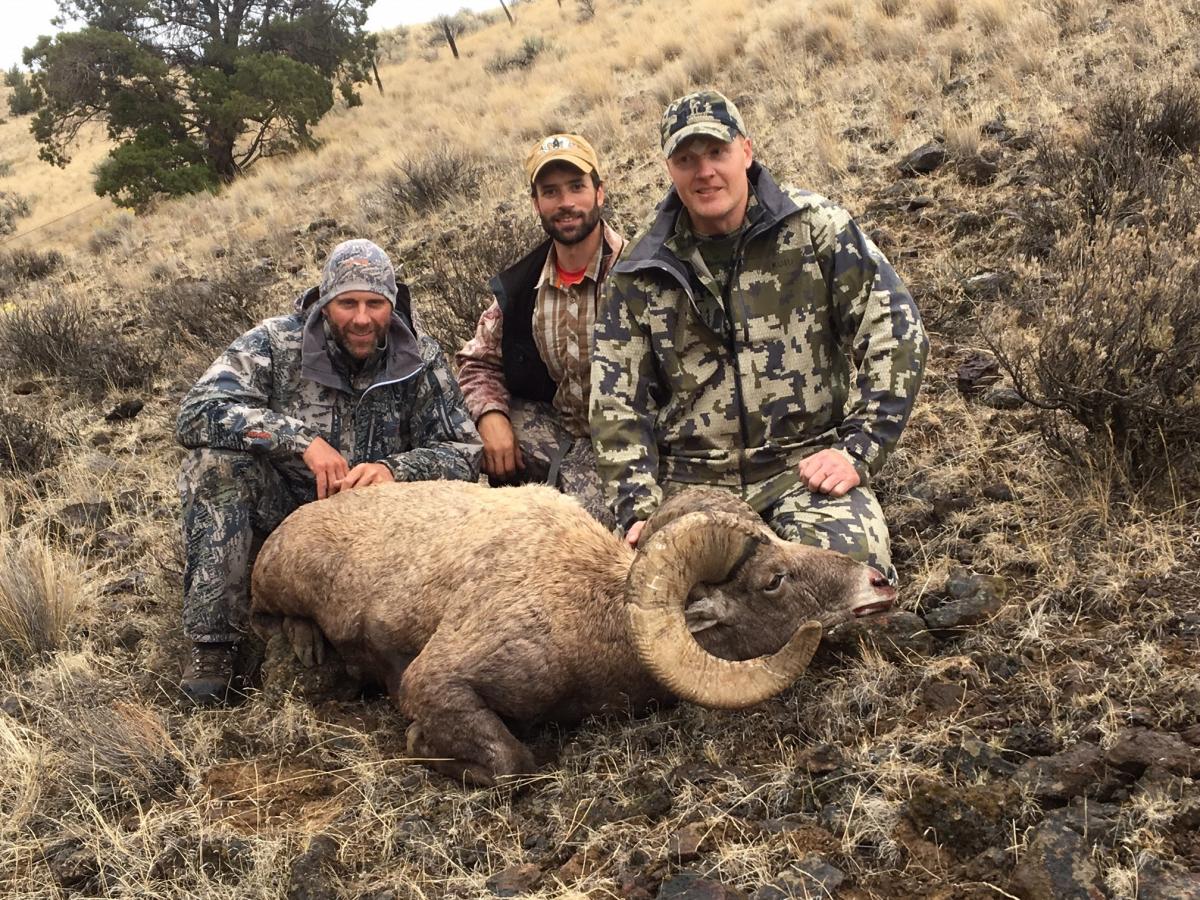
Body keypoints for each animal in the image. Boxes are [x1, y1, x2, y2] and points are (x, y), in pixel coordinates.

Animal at [250, 480, 895, 785]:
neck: (586, 611)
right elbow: (512, 761)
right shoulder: (436, 684)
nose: (880, 583)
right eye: (773, 580)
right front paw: (419, 745)